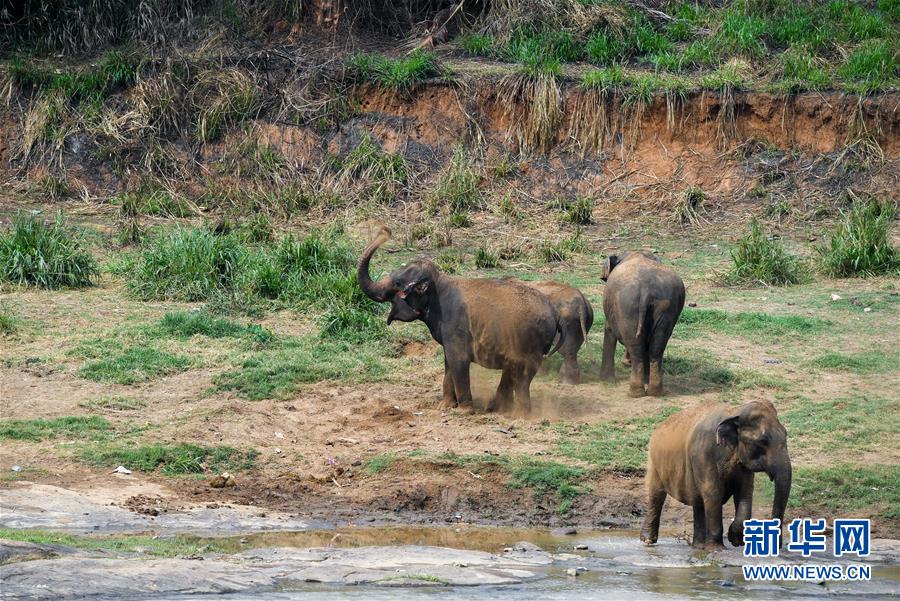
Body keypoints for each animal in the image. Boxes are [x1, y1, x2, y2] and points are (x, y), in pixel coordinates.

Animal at [356, 226, 564, 418]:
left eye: (398, 283)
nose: (385, 231)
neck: (439, 281)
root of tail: (554, 313)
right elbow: (448, 362)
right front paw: (445, 407)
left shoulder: (456, 328)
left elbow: (458, 360)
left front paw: (464, 411)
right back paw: (497, 409)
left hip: (533, 343)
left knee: (523, 376)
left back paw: (519, 415)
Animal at [600, 250, 684, 396]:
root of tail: (647, 291)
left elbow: (609, 330)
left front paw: (606, 379)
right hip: (666, 308)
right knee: (657, 347)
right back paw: (654, 391)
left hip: (626, 307)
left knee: (636, 347)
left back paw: (635, 392)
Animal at [640, 400, 796, 552]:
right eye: (763, 441)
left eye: (786, 435)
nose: (778, 546)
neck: (735, 411)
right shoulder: (703, 454)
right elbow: (714, 492)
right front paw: (717, 549)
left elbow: (744, 492)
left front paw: (735, 539)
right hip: (654, 462)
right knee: (657, 495)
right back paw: (648, 540)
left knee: (698, 502)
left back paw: (699, 546)